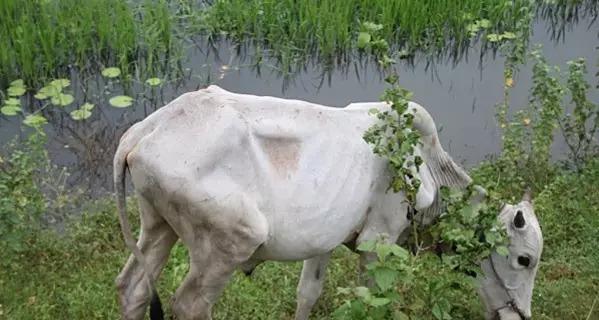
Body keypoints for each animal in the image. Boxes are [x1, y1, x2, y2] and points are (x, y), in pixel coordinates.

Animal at [112, 85, 544, 320]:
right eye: (524, 260)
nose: (520, 315)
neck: (430, 169)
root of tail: (144, 130)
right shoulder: (378, 242)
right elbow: (373, 298)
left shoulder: (324, 240)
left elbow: (309, 293)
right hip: (228, 243)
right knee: (189, 305)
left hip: (157, 225)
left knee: (132, 289)